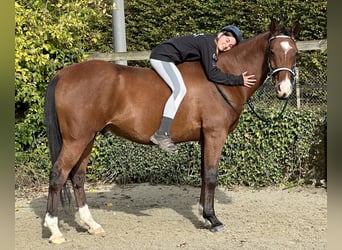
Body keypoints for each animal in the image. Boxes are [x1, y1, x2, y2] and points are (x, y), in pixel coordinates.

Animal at [43, 20, 300, 244]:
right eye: (273, 51)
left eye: (295, 53)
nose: (284, 91)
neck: (223, 78)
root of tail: (63, 74)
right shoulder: (215, 135)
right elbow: (211, 175)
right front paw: (213, 219)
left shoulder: (205, 138)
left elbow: (203, 174)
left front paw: (204, 214)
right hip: (76, 140)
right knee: (58, 175)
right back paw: (55, 231)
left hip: (88, 139)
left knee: (77, 177)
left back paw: (91, 224)